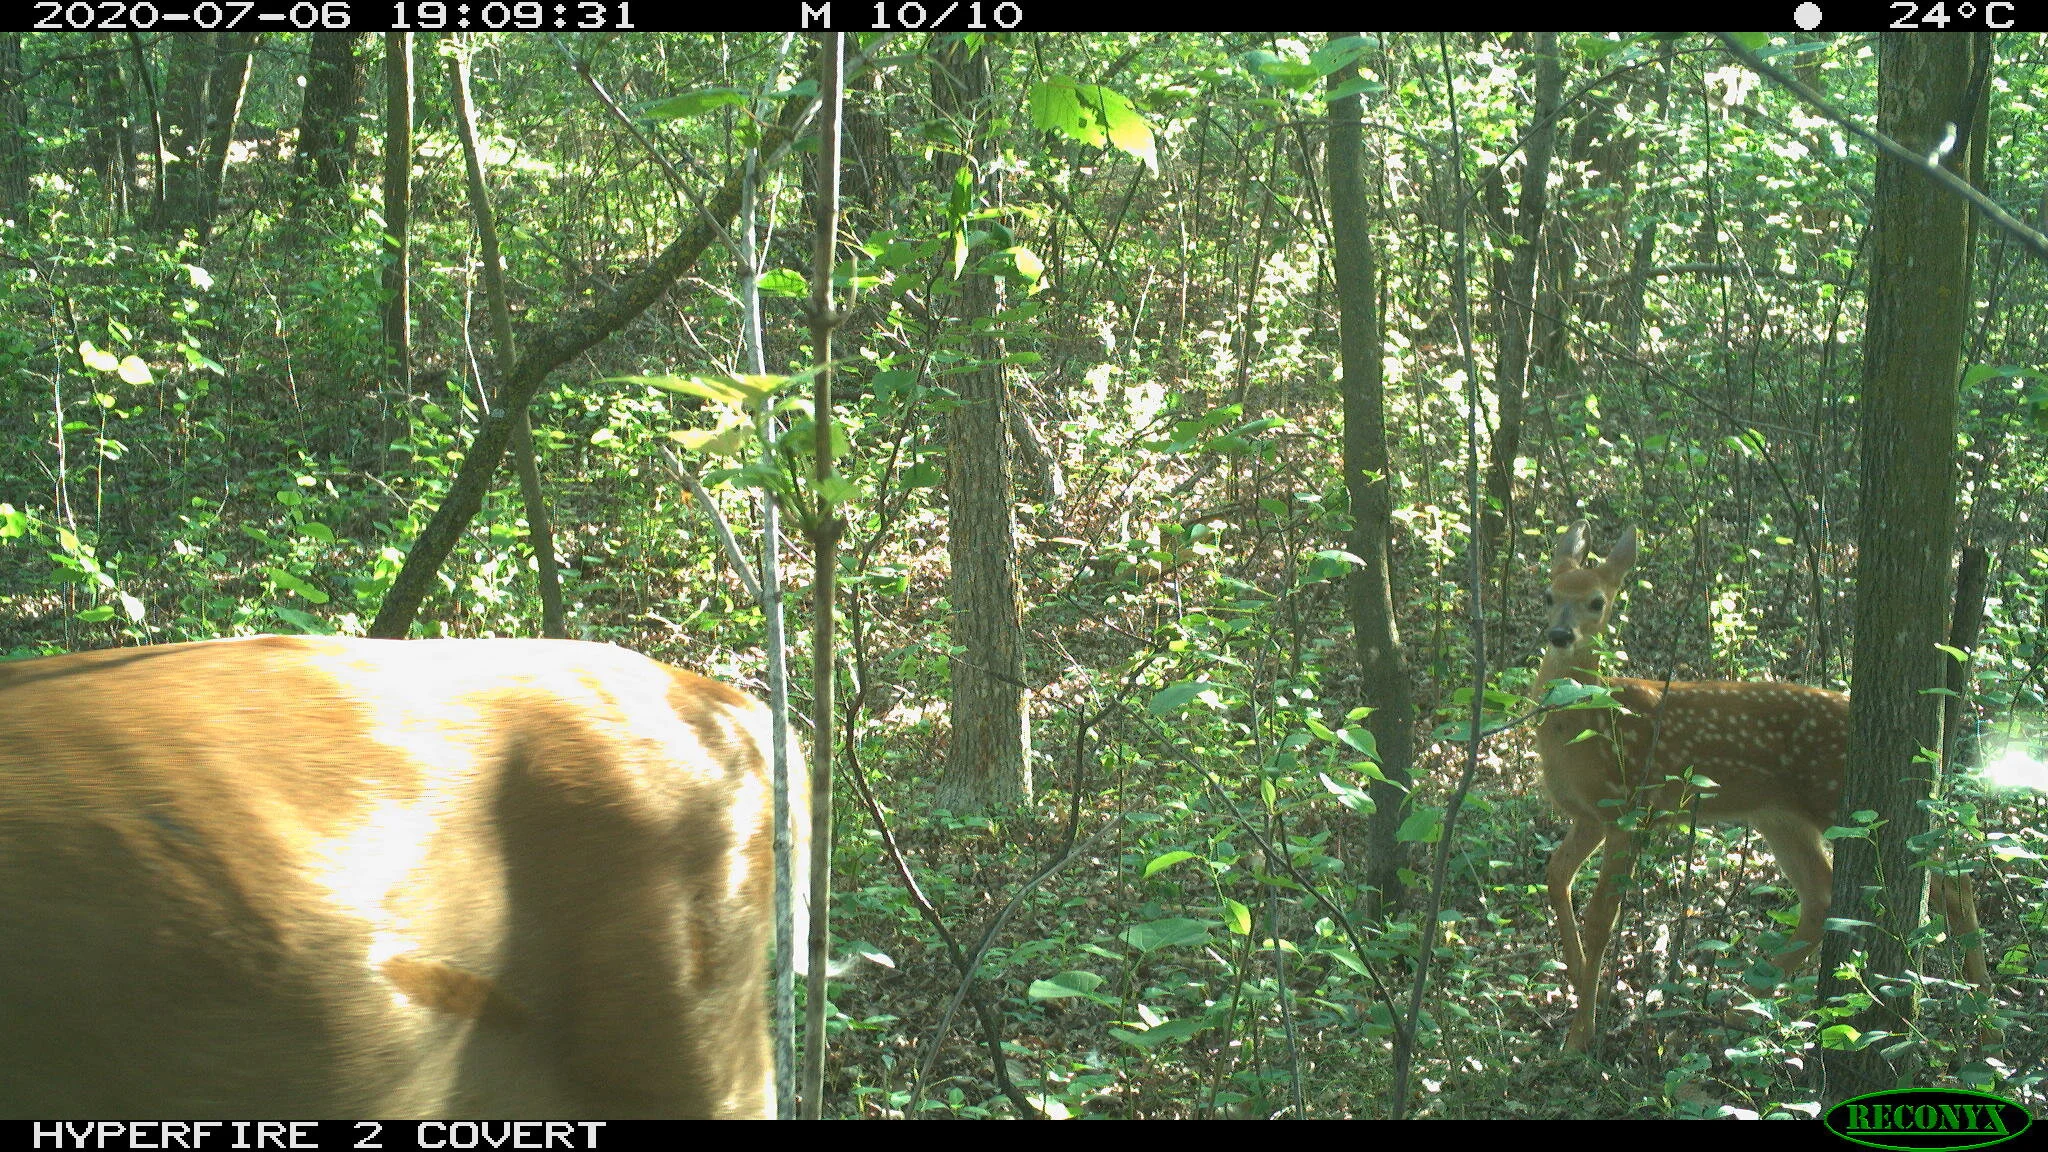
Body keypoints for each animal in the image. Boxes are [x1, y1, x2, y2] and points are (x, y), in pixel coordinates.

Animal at [1533, 521, 1988, 1052]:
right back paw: (1745, 1004)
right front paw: (1585, 994)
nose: (1559, 634)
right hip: (1780, 816)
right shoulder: (1587, 815)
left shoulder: (1627, 807)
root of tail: (1926, 749)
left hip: (1842, 802)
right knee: (1823, 896)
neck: (1582, 727)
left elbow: (1602, 918)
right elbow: (1555, 878)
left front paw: (1580, 1035)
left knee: (1951, 879)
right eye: (1548, 594)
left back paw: (1985, 1010)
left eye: (1597, 602)